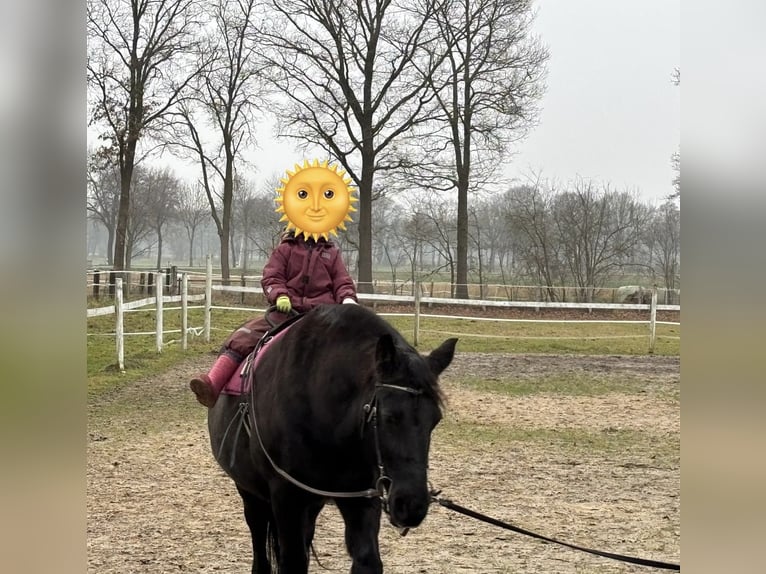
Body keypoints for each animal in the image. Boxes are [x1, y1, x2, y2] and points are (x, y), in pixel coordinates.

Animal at [205, 303, 458, 574]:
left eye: (435, 420)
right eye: (389, 416)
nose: (412, 505)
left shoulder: (361, 498)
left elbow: (367, 560)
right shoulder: (286, 497)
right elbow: (292, 561)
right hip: (250, 492)